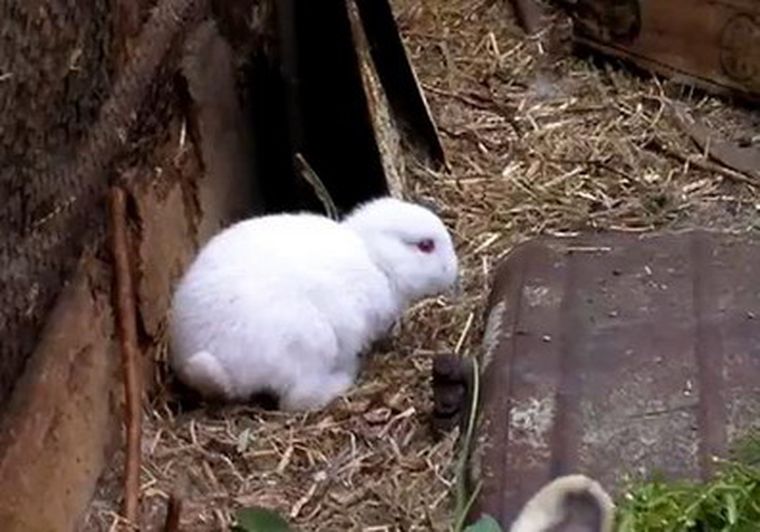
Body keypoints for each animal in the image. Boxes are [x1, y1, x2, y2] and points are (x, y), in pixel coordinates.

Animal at [168, 196, 458, 411]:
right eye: (425, 246)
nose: (454, 271)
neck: (376, 260)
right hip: (309, 344)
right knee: (295, 400)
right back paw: (344, 378)